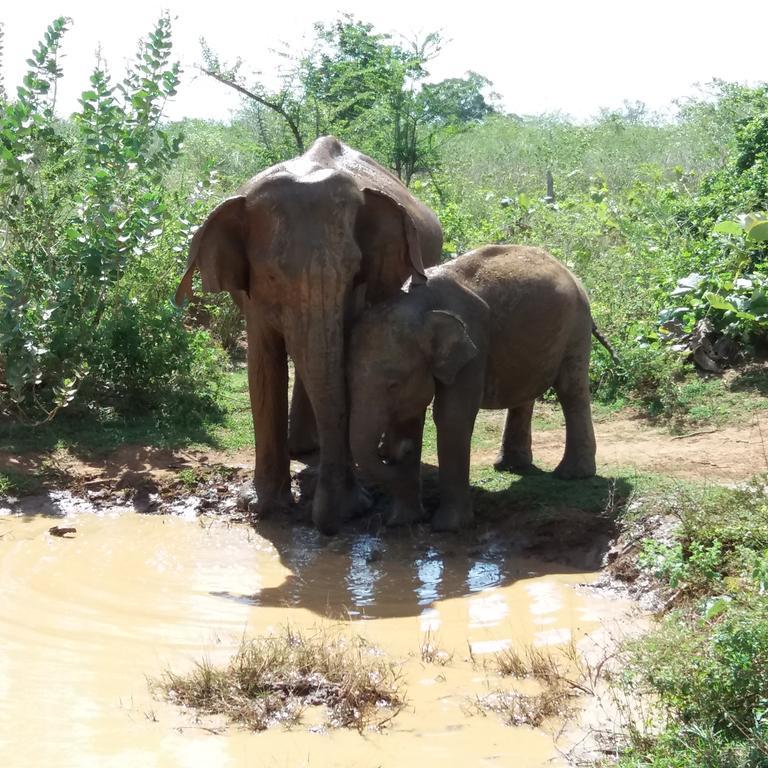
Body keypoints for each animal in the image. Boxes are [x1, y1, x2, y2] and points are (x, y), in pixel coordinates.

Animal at [172, 136, 440, 536]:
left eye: (354, 270)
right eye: (271, 276)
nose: (334, 523)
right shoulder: (253, 296)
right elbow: (263, 366)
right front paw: (260, 506)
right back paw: (304, 450)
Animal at [348, 243, 608, 532]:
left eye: (393, 384)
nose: (399, 452)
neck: (420, 302)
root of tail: (569, 271)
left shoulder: (473, 344)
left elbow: (452, 415)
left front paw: (448, 527)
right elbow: (410, 416)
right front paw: (403, 521)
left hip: (576, 326)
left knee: (571, 389)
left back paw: (572, 475)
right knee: (525, 394)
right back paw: (510, 467)